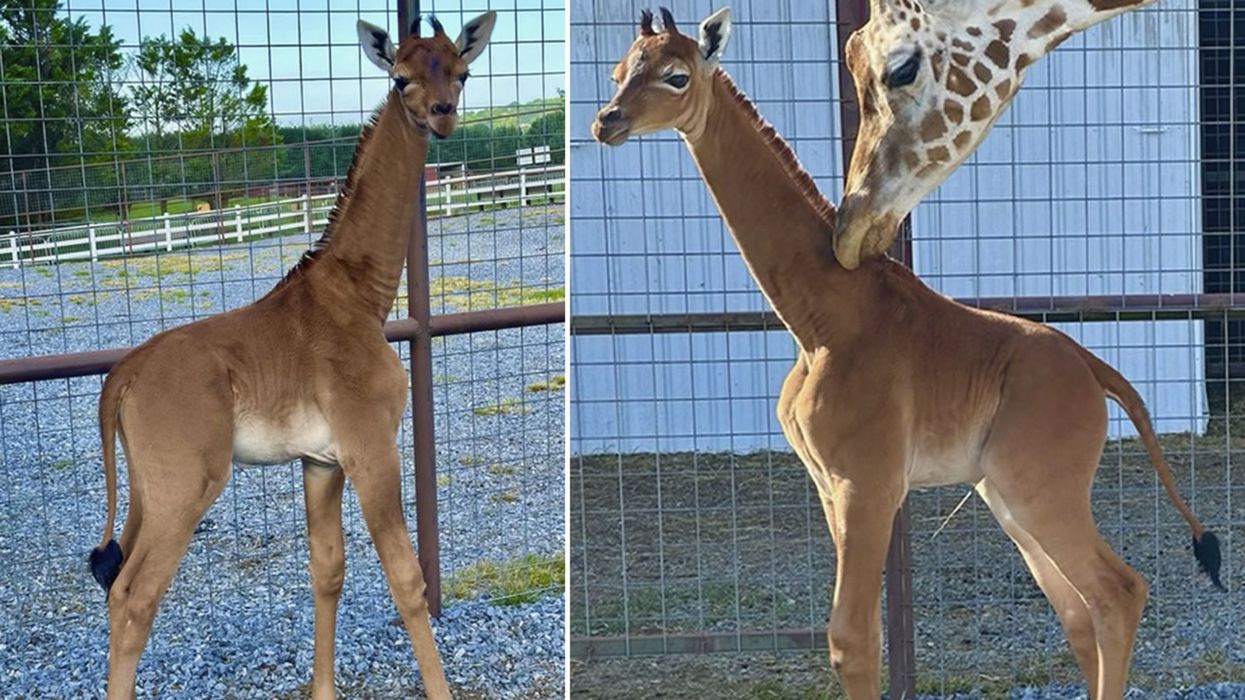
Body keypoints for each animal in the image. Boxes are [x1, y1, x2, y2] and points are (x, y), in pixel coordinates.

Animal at [85, 12, 496, 699]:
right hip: (186, 487)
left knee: (115, 583)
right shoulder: (371, 447)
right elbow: (407, 579)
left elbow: (327, 569)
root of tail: (123, 375)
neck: (359, 296)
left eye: (461, 72)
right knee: (134, 597)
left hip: (147, 489)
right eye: (401, 77)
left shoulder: (320, 461)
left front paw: (323, 689)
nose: (442, 115)